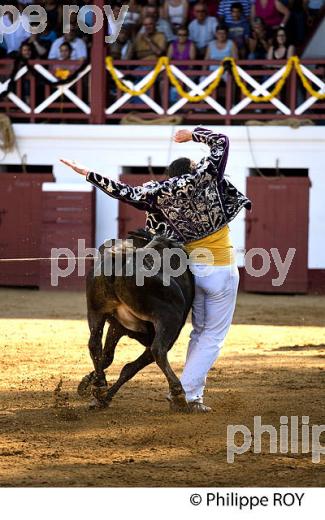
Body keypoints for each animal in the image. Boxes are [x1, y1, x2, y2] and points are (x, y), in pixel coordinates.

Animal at [78, 230, 195, 412]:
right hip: (169, 318)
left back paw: (99, 385)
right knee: (158, 350)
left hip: (95, 311)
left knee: (94, 344)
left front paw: (92, 388)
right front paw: (101, 395)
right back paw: (178, 394)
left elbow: (109, 358)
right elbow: (131, 367)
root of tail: (125, 258)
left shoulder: (117, 327)